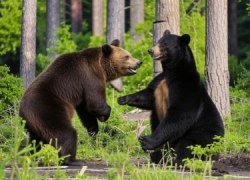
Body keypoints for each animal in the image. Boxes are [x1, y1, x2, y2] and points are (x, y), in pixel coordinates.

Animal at [117, 30, 225, 165]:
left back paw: (174, 160)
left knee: (189, 145)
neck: (173, 70)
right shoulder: (159, 81)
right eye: (158, 41)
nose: (151, 50)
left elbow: (179, 113)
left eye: (164, 44)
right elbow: (148, 96)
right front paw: (122, 99)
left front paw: (146, 140)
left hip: (204, 133)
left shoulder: (185, 86)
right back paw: (159, 156)